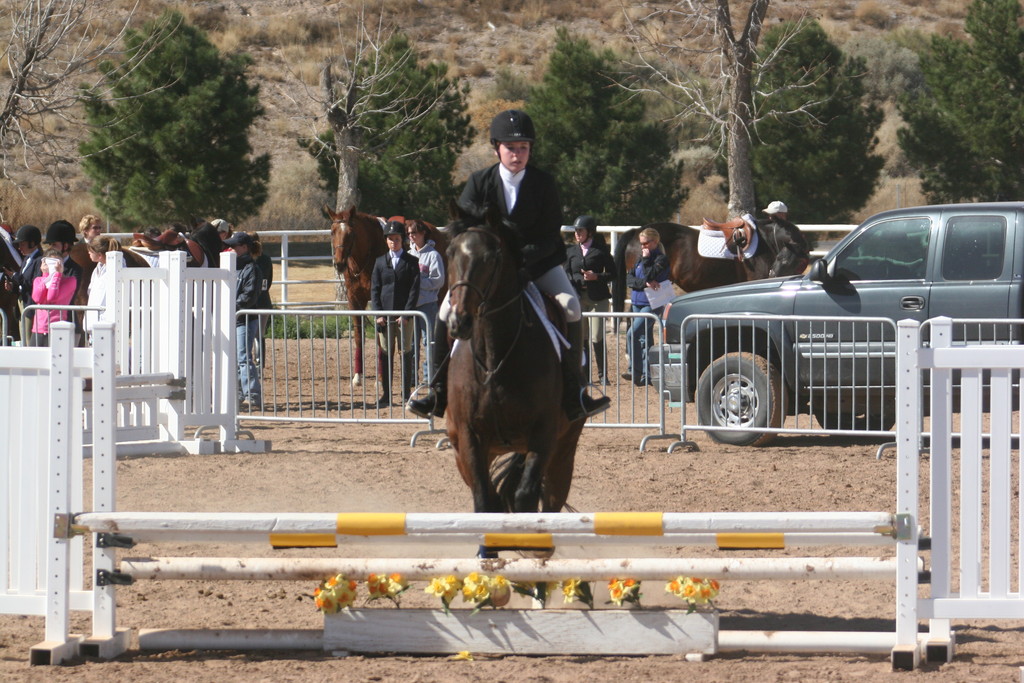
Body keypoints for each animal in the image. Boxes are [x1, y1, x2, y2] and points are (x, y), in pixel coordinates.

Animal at [442, 205, 581, 532]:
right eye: (450, 252)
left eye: (492, 257)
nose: (459, 322)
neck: (494, 355)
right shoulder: (468, 437)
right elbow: (484, 500)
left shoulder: (544, 434)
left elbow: (524, 497)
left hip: (563, 450)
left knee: (551, 500)